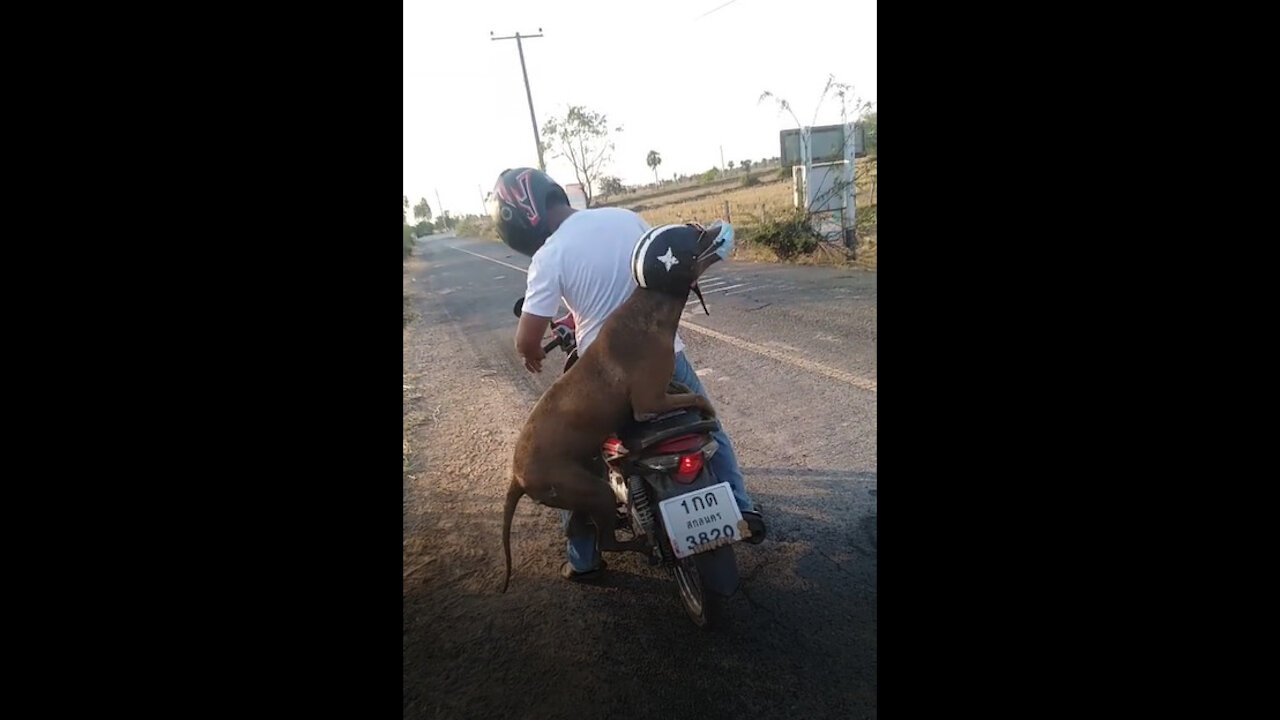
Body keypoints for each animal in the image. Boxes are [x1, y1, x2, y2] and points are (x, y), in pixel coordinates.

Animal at [501, 222, 732, 589]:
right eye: (695, 238)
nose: (713, 225)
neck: (651, 303)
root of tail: (516, 476)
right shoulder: (648, 402)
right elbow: (695, 397)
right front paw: (706, 407)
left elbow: (683, 388)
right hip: (592, 490)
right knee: (605, 539)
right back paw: (641, 546)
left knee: (586, 530)